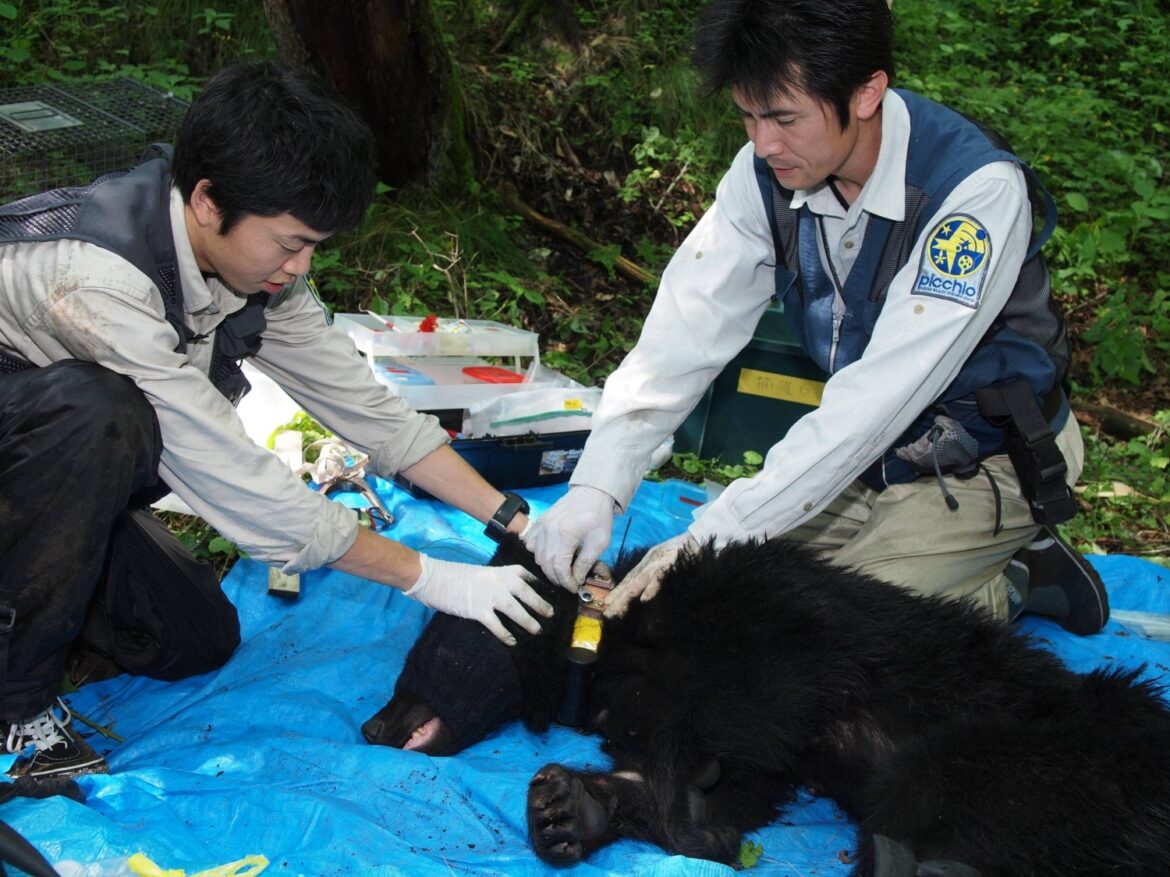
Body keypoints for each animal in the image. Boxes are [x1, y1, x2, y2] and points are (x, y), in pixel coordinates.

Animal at [361, 536, 1170, 876]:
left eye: (434, 641)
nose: (370, 725)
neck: (604, 648)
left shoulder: (775, 618)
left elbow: (771, 696)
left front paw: (684, 808)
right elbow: (747, 780)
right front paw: (574, 808)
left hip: (1032, 757)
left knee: (919, 809)